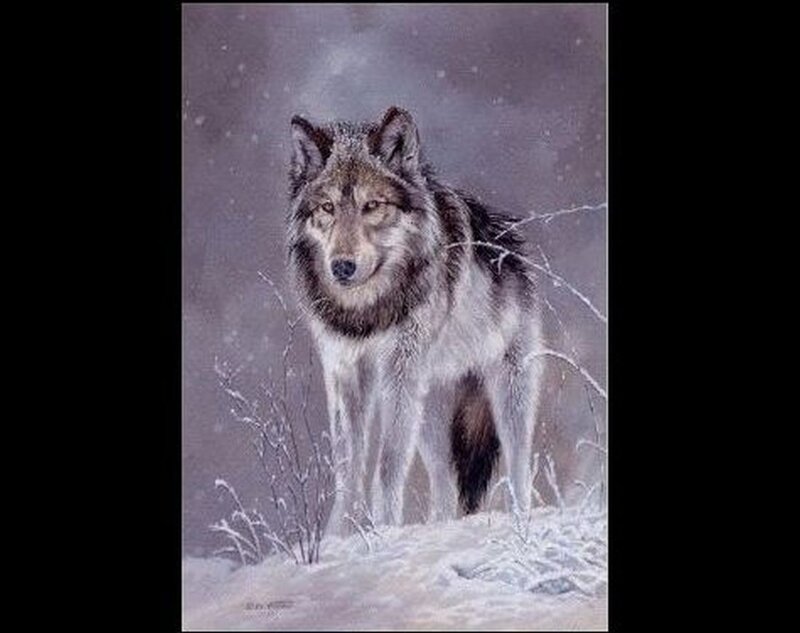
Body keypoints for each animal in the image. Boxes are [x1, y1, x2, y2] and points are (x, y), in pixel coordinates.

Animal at [286, 106, 545, 533]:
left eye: (372, 205)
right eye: (327, 208)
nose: (342, 267)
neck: (367, 310)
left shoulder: (398, 369)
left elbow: (388, 464)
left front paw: (384, 531)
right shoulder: (344, 370)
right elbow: (349, 467)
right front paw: (338, 537)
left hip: (506, 392)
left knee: (519, 467)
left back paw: (520, 524)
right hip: (427, 411)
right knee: (444, 483)